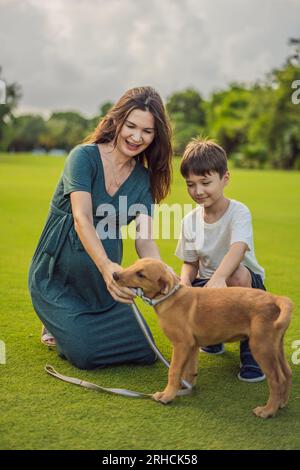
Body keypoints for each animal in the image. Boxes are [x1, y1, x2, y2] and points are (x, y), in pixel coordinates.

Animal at [113, 258, 292, 418]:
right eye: (134, 264)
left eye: (141, 274)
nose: (114, 275)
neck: (170, 298)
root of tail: (275, 298)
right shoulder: (192, 345)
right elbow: (188, 372)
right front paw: (182, 389)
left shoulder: (182, 344)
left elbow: (174, 371)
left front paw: (167, 395)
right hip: (275, 346)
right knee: (287, 373)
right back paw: (282, 403)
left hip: (261, 346)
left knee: (276, 380)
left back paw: (268, 410)